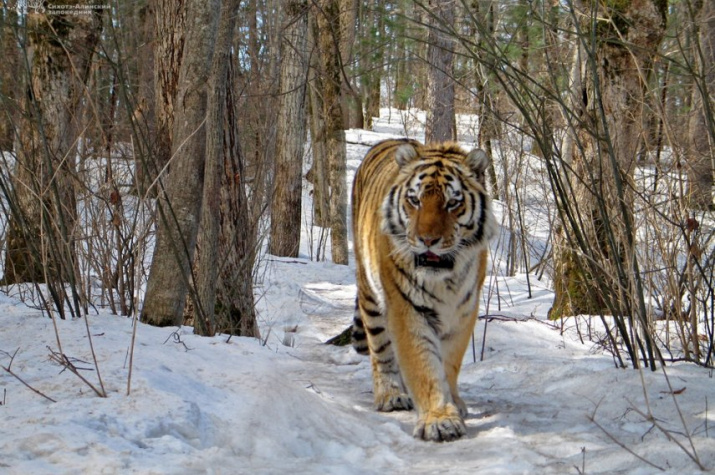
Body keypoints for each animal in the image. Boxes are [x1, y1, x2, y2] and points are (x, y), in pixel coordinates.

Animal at [350, 138, 496, 442]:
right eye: (415, 200)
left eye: (453, 203)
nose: (428, 240)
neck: (445, 281)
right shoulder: (407, 308)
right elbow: (423, 364)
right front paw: (439, 420)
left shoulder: (463, 311)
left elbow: (449, 363)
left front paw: (453, 403)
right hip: (369, 293)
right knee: (380, 349)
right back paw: (391, 395)